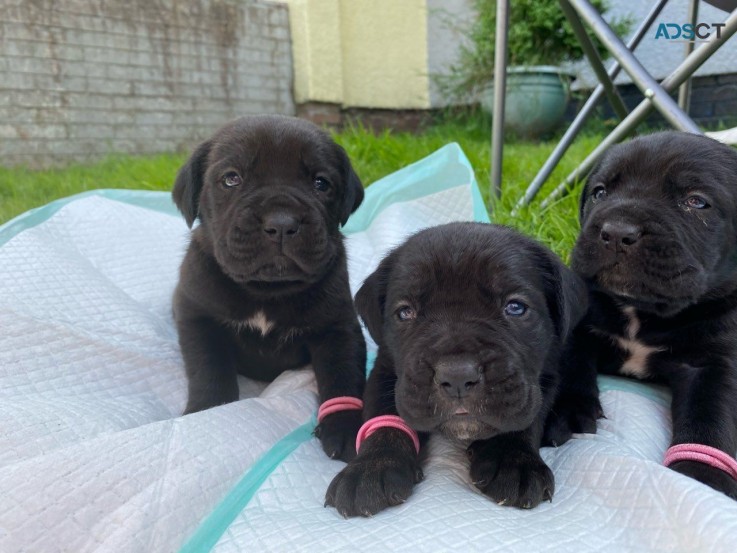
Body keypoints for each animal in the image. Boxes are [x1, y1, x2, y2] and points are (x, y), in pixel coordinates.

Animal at [173, 114, 368, 460]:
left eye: (321, 183)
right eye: (231, 179)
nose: (281, 222)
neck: (267, 288)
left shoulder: (338, 328)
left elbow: (342, 375)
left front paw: (345, 427)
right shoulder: (198, 317)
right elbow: (209, 369)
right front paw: (207, 413)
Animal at [324, 222, 588, 516]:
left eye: (516, 307)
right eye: (405, 312)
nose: (458, 376)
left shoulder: (544, 374)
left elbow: (527, 413)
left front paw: (514, 458)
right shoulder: (386, 370)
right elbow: (383, 414)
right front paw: (372, 466)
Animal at [548, 132, 736, 498]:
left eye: (697, 201)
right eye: (600, 192)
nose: (617, 232)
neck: (642, 310)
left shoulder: (713, 362)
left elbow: (710, 409)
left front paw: (702, 475)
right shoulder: (575, 327)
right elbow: (570, 363)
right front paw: (566, 410)